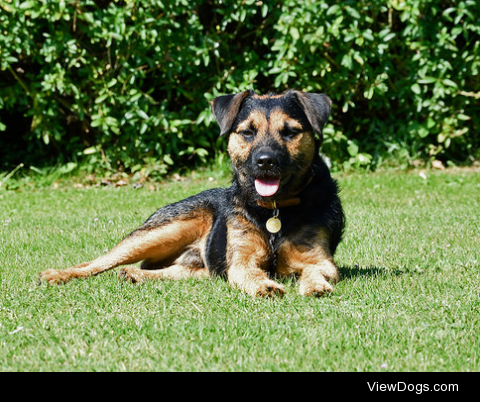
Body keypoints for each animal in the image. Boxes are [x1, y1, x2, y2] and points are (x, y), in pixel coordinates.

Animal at [38, 92, 344, 298]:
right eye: (247, 132)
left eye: (291, 131)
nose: (265, 160)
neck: (273, 209)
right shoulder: (240, 260)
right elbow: (249, 272)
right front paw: (264, 284)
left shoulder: (319, 259)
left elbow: (316, 269)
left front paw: (314, 284)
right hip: (160, 231)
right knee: (97, 261)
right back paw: (59, 274)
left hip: (196, 265)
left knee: (178, 272)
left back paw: (136, 274)